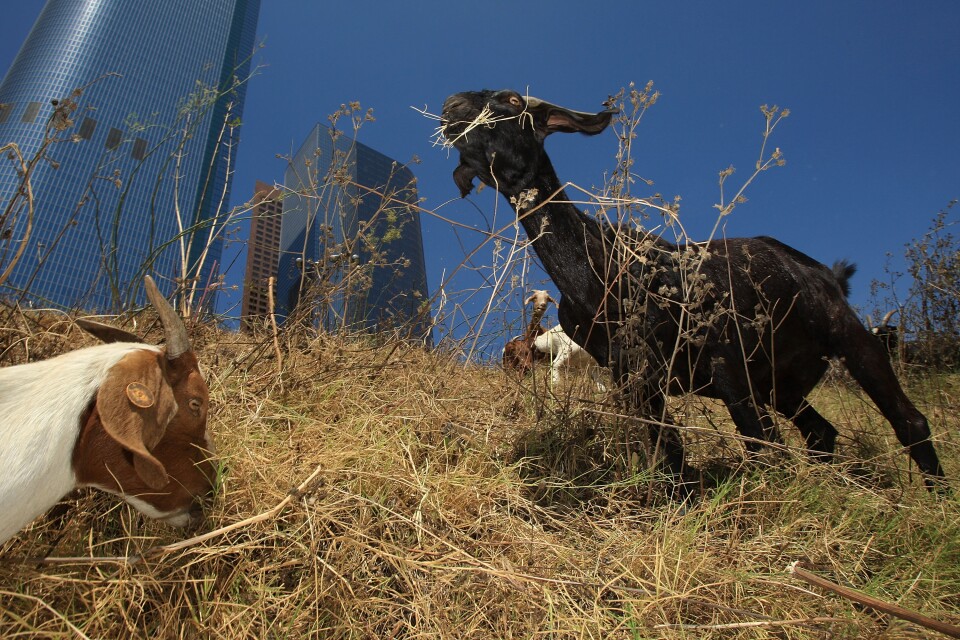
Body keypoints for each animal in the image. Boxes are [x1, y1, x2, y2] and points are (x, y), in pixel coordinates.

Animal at [440, 89, 945, 491]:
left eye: (512, 99)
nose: (451, 106)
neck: (599, 272)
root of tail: (825, 273)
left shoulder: (724, 360)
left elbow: (761, 443)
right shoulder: (633, 376)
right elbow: (670, 450)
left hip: (844, 335)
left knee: (908, 418)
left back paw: (933, 499)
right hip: (781, 381)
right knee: (820, 432)